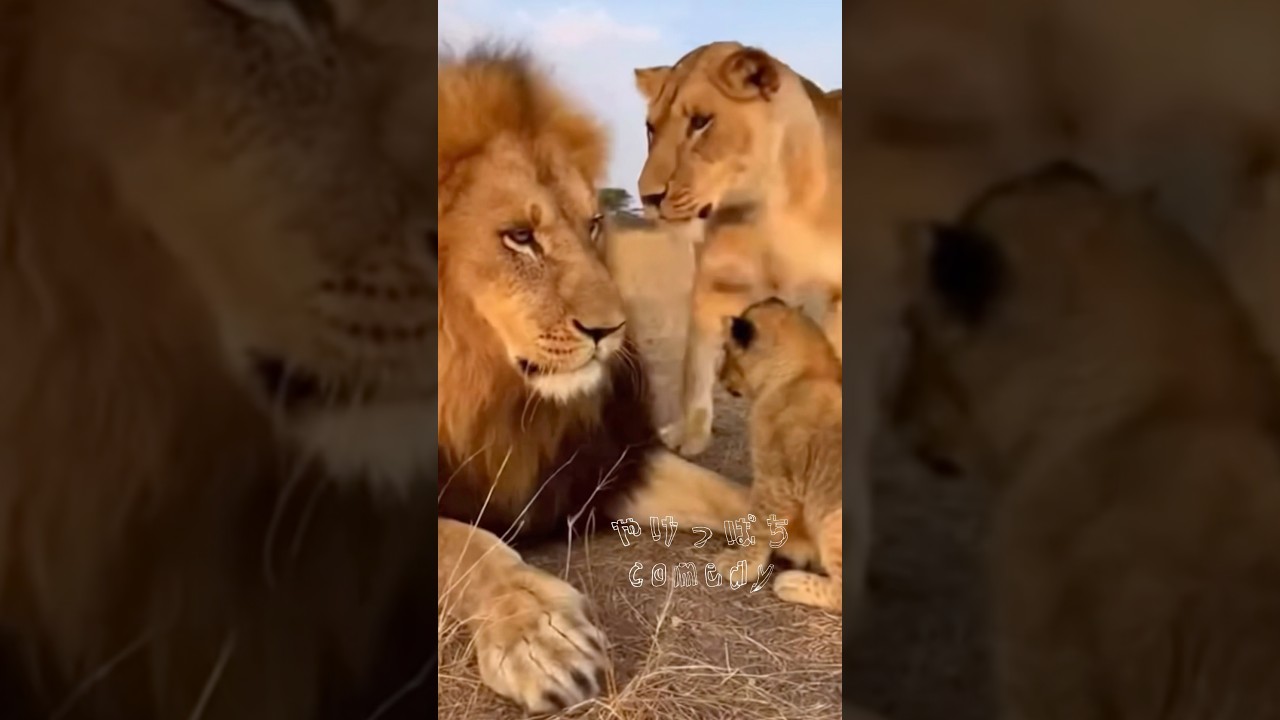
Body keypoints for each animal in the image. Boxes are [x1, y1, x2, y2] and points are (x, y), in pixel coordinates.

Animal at [436, 47, 750, 714]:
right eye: (520, 236)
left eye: (593, 225)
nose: (612, 329)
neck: (485, 390)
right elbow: (465, 544)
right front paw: (539, 634)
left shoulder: (599, 465)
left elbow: (734, 495)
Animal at [712, 298, 854, 616]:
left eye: (726, 350)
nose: (718, 376)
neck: (808, 369)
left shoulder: (775, 479)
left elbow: (759, 525)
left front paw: (740, 565)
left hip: (834, 519)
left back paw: (791, 582)